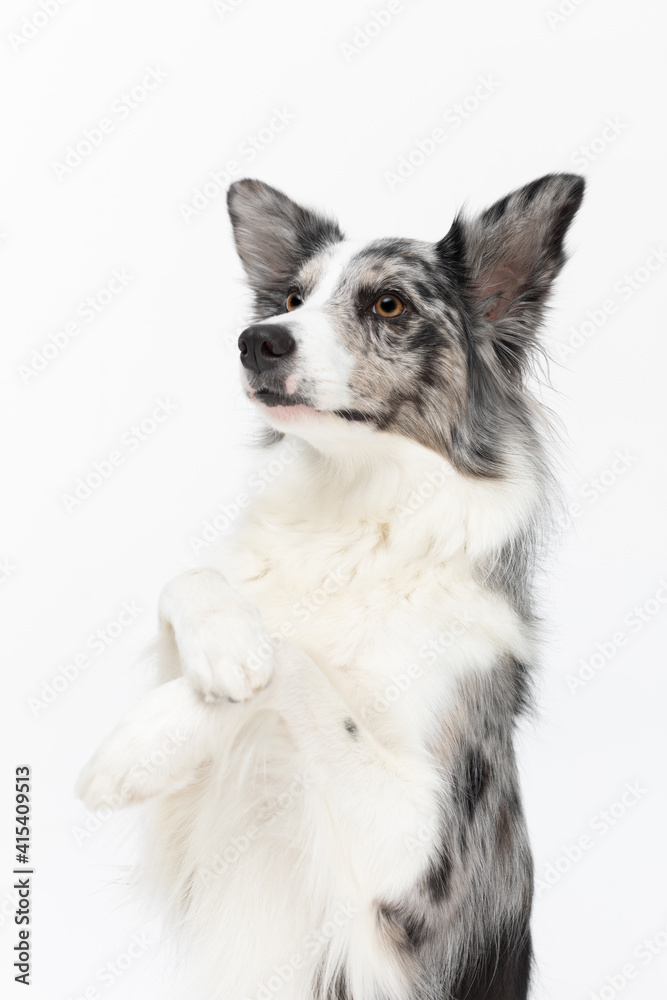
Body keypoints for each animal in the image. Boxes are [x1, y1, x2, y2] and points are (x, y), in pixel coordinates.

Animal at [78, 174, 588, 1000]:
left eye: (388, 305)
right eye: (290, 297)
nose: (257, 341)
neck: (353, 513)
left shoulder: (424, 866)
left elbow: (300, 665)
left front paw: (135, 746)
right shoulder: (195, 823)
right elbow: (193, 580)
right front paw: (208, 670)